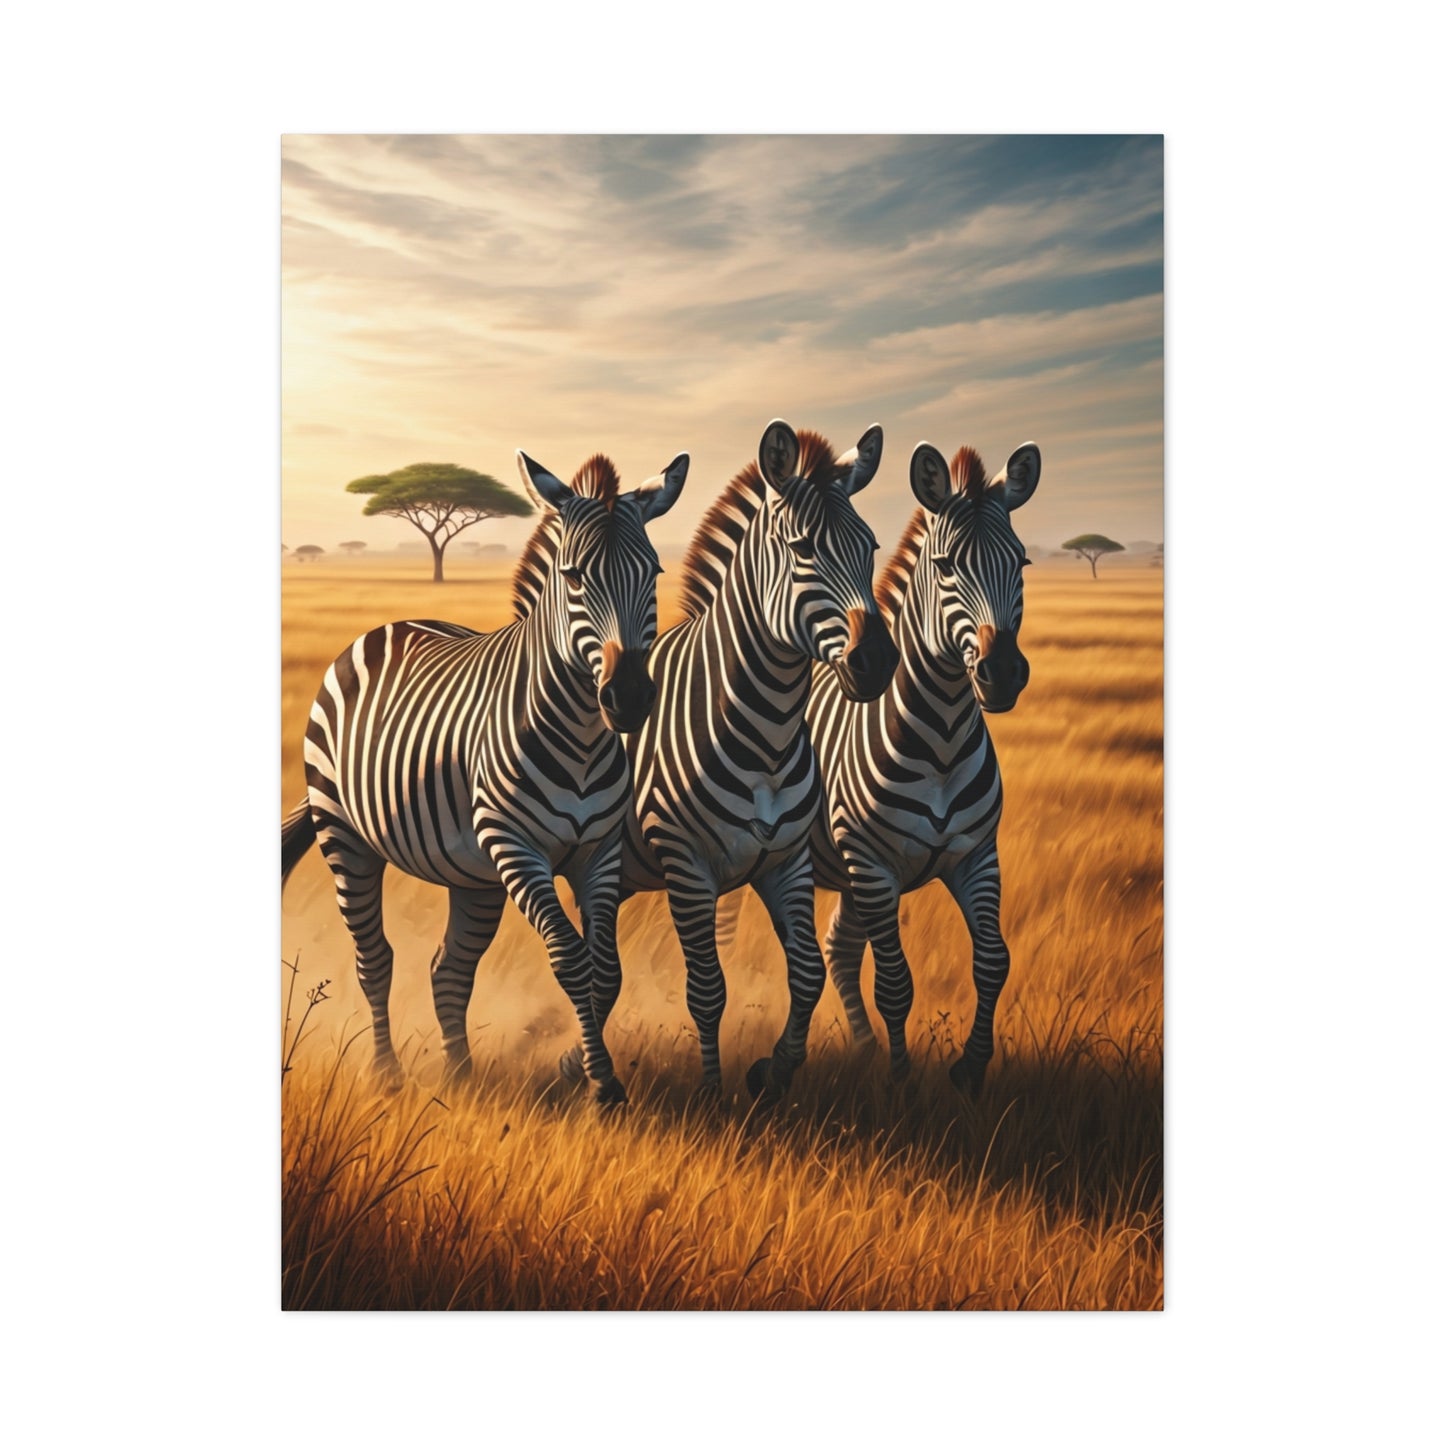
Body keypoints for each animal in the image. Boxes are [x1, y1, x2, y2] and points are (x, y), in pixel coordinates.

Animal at [280, 447, 689, 1105]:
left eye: (653, 573)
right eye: (573, 576)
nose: (627, 699)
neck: (581, 733)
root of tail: (387, 626)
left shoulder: (598, 851)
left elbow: (607, 968)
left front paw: (590, 1073)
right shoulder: (516, 845)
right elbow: (571, 960)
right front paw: (601, 1084)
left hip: (471, 875)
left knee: (448, 967)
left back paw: (461, 1077)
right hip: (345, 835)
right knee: (376, 958)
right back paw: (387, 1075)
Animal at [560, 419, 899, 1101]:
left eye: (871, 546)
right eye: (803, 549)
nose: (876, 663)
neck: (765, 736)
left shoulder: (786, 862)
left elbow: (807, 974)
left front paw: (772, 1071)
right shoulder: (688, 869)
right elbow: (708, 989)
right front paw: (715, 1095)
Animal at [805, 438, 1042, 1095]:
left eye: (1021, 563)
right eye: (946, 566)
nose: (1002, 673)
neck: (940, 741)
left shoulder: (976, 856)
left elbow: (994, 961)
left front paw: (970, 1069)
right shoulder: (874, 865)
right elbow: (895, 982)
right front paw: (903, 1081)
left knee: (837, 946)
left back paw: (861, 1049)